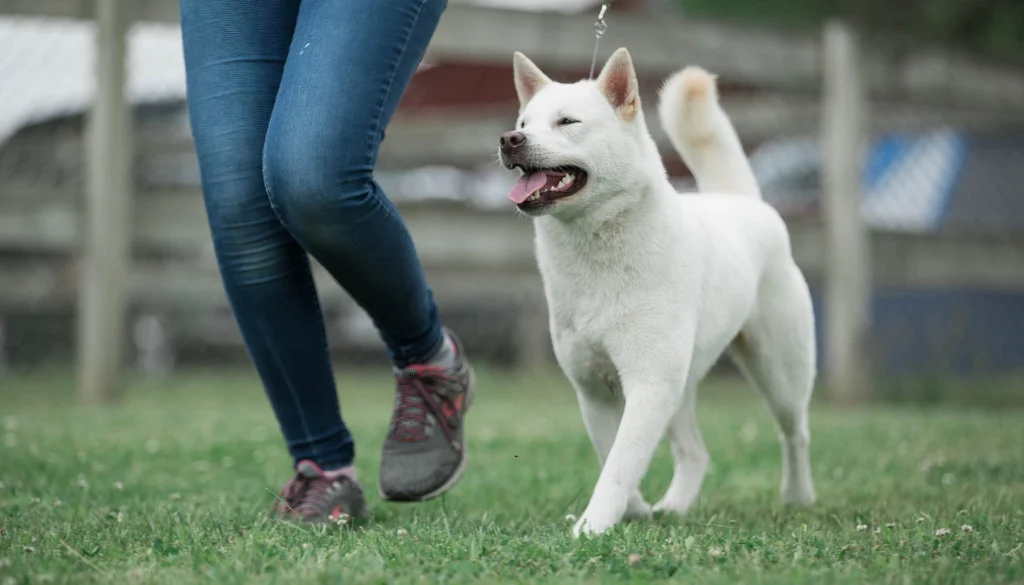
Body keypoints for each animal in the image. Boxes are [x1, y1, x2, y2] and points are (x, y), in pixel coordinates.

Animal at [495, 48, 815, 536]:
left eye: (567, 121)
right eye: (524, 122)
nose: (509, 139)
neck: (595, 255)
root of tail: (744, 200)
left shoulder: (648, 386)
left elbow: (619, 465)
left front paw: (591, 528)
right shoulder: (595, 390)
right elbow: (613, 457)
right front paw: (633, 512)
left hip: (778, 372)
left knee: (795, 432)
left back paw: (798, 497)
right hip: (680, 387)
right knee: (696, 453)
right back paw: (672, 509)